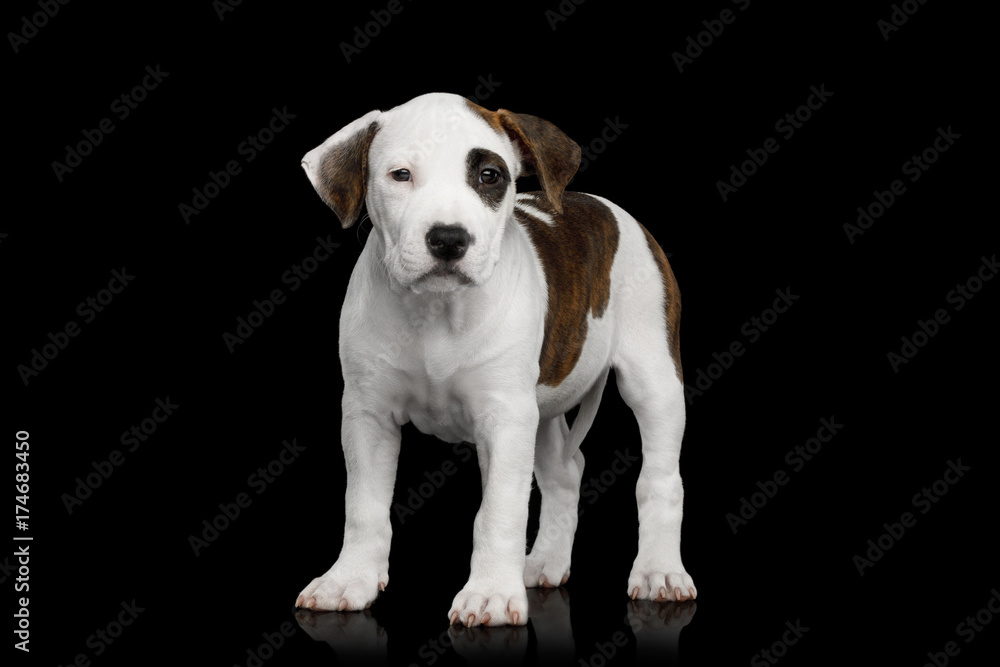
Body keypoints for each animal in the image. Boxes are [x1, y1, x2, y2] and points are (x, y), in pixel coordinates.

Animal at [292, 92, 692, 628]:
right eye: (401, 175)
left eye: (489, 176)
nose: (448, 239)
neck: (437, 313)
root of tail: (601, 203)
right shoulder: (367, 414)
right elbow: (363, 505)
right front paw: (348, 579)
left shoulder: (505, 418)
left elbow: (499, 511)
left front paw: (490, 595)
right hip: (540, 411)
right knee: (565, 472)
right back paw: (543, 562)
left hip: (653, 378)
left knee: (661, 479)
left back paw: (659, 572)